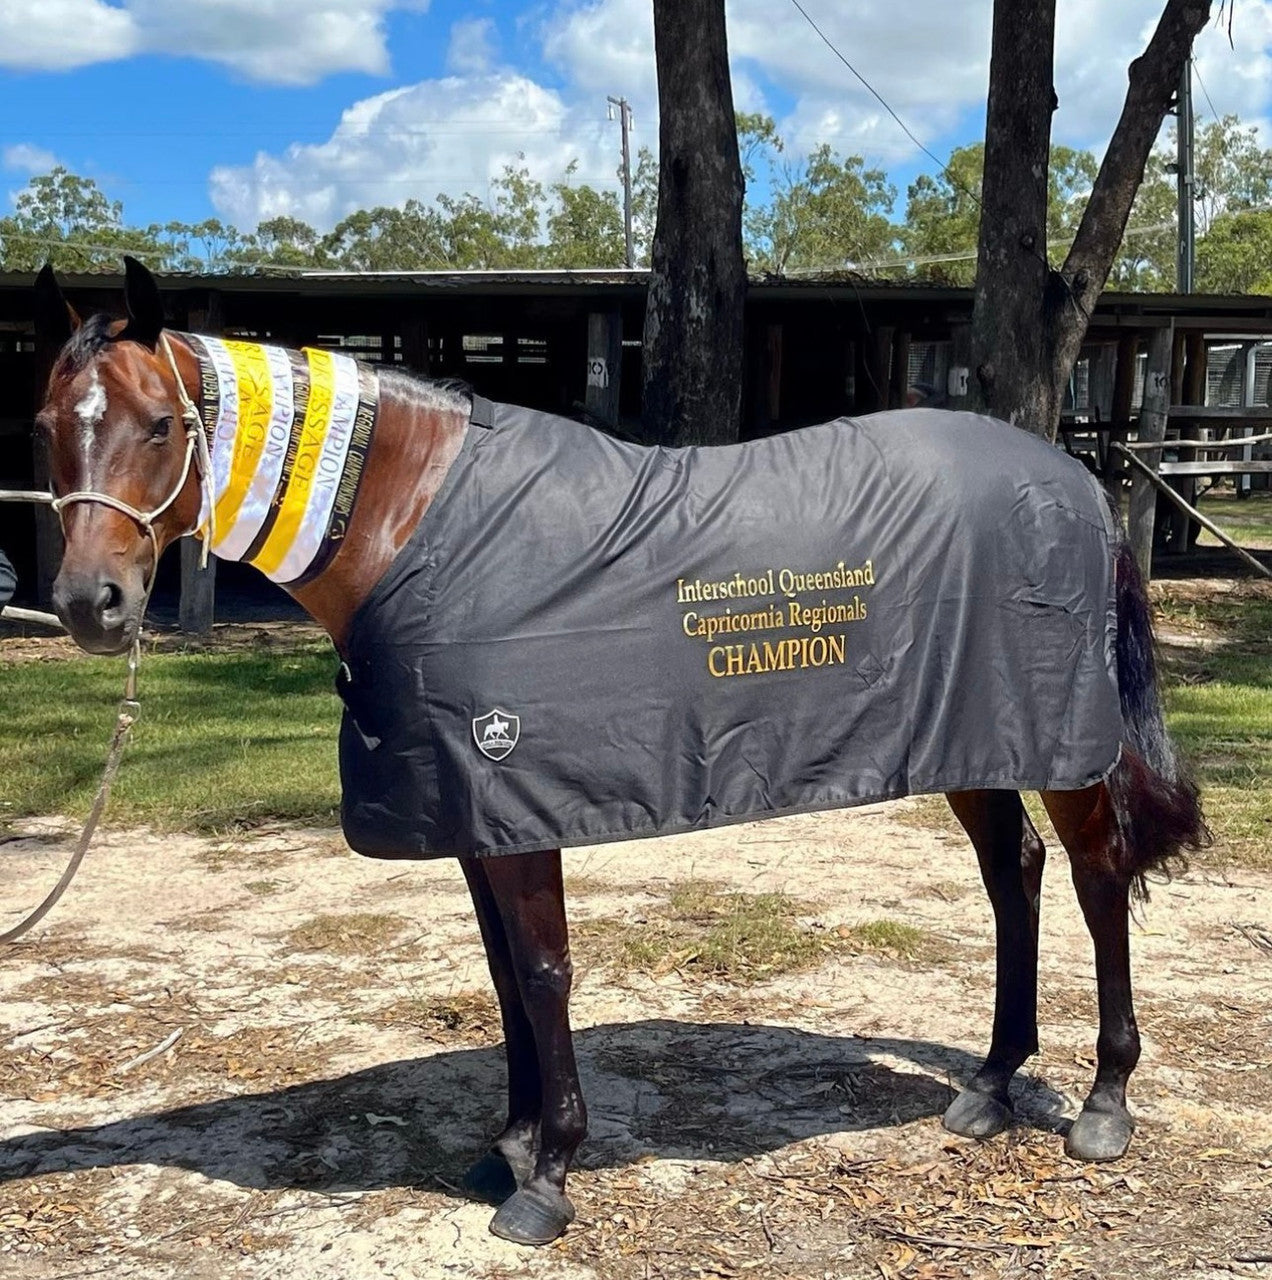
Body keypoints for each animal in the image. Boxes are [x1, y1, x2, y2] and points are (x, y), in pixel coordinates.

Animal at [27, 254, 1197, 1244]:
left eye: (161, 422)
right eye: (46, 423)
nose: (91, 603)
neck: (420, 524)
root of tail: (1075, 479)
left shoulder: (519, 800)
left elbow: (544, 973)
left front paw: (547, 1177)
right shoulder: (473, 813)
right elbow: (503, 973)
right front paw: (507, 1145)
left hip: (1062, 744)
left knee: (1095, 874)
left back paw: (1104, 1102)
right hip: (976, 737)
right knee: (1015, 873)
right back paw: (991, 1086)